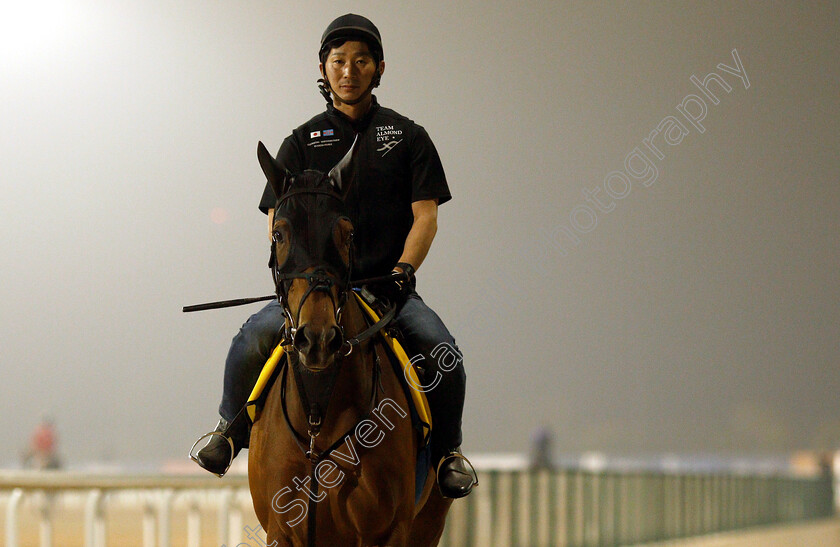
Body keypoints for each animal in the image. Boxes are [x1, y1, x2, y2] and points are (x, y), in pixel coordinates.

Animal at [246, 139, 450, 544]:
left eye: (347, 233)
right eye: (279, 233)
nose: (318, 339)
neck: (318, 415)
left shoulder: (387, 531)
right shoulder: (281, 530)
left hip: (429, 522)